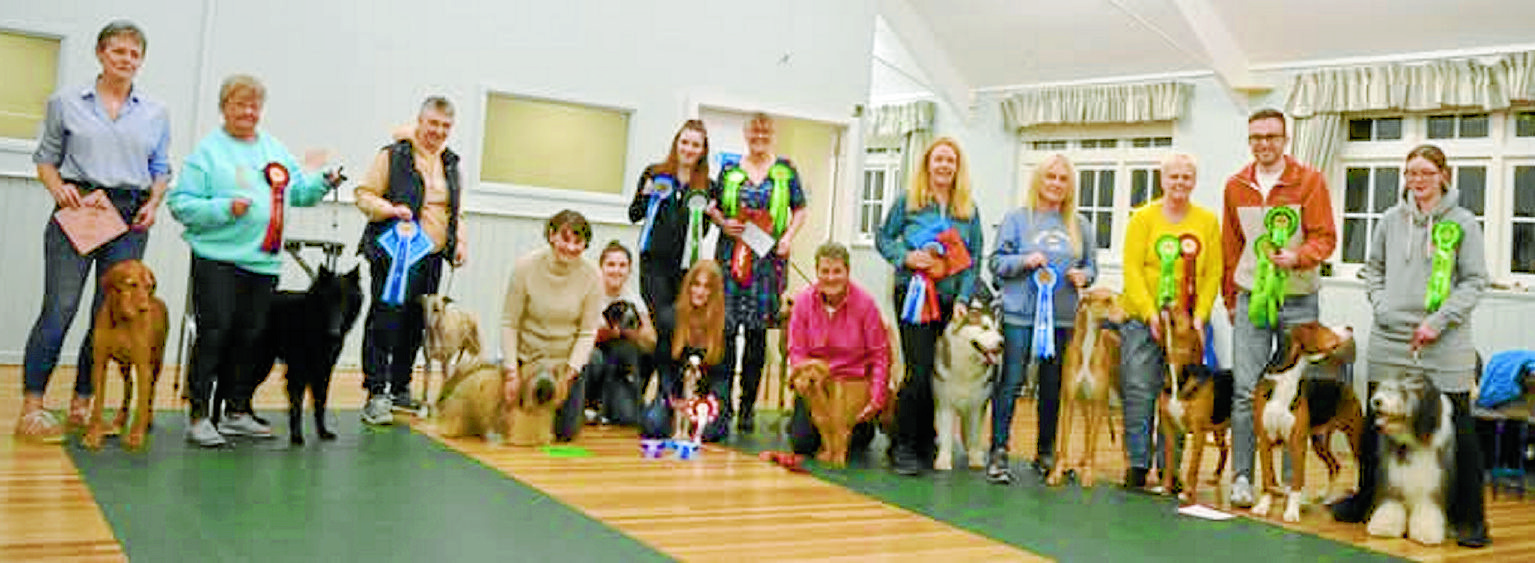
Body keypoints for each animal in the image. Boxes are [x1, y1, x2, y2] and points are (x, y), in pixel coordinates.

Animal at [81, 262, 168, 451]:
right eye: (132, 284)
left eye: (149, 286)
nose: (144, 309)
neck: (121, 321)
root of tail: (158, 300)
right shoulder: (100, 363)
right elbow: (98, 403)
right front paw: (93, 434)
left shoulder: (143, 367)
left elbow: (142, 403)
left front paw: (136, 435)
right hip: (124, 365)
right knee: (129, 387)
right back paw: (119, 420)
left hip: (157, 361)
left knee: (151, 391)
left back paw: (148, 419)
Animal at [927, 303, 1000, 472]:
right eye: (985, 327)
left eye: (998, 329)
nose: (1001, 343)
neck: (966, 370)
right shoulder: (945, 404)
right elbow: (946, 435)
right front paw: (943, 460)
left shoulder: (977, 405)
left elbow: (974, 434)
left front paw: (975, 458)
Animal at [1043, 288, 1129, 487]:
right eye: (1107, 300)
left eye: (1117, 299)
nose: (1127, 318)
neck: (1088, 346)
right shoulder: (1068, 400)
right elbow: (1064, 442)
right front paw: (1056, 473)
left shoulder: (1097, 401)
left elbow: (1093, 443)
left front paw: (1089, 474)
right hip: (1083, 401)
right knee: (1089, 428)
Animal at [1154, 306, 1234, 506]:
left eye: (1183, 311)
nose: (1166, 303)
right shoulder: (1169, 429)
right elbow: (1169, 462)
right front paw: (1166, 488)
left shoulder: (1198, 433)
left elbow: (1192, 467)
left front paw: (1187, 493)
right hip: (1219, 430)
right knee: (1225, 449)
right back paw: (1216, 476)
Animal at [1252, 322, 1363, 524]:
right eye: (1323, 327)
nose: (1350, 327)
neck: (1286, 381)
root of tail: (1342, 383)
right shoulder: (1264, 440)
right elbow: (1267, 478)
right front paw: (1263, 506)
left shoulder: (1297, 443)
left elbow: (1297, 481)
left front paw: (1291, 512)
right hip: (1320, 442)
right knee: (1335, 466)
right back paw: (1326, 496)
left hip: (1355, 435)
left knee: (1359, 464)